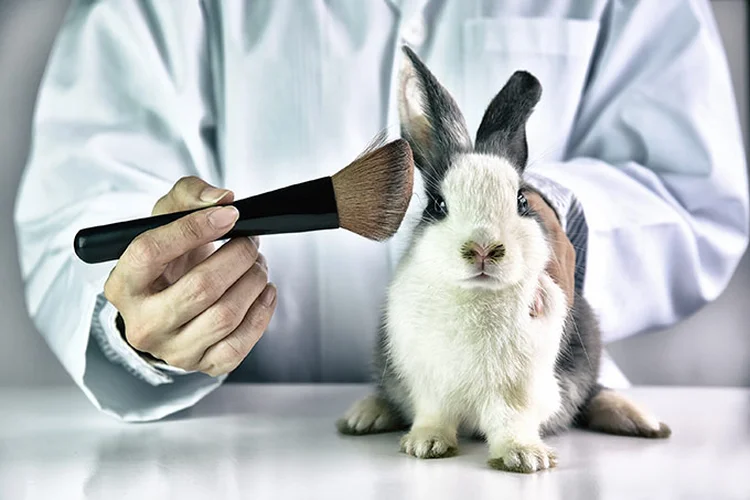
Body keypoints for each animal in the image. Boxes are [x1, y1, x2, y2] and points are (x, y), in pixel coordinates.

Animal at [338, 46, 672, 472]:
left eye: (522, 200)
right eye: (438, 205)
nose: (483, 248)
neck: (476, 297)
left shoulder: (520, 390)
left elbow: (511, 421)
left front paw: (525, 457)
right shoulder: (430, 384)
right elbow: (433, 415)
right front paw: (426, 444)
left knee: (592, 394)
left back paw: (639, 421)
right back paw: (365, 415)